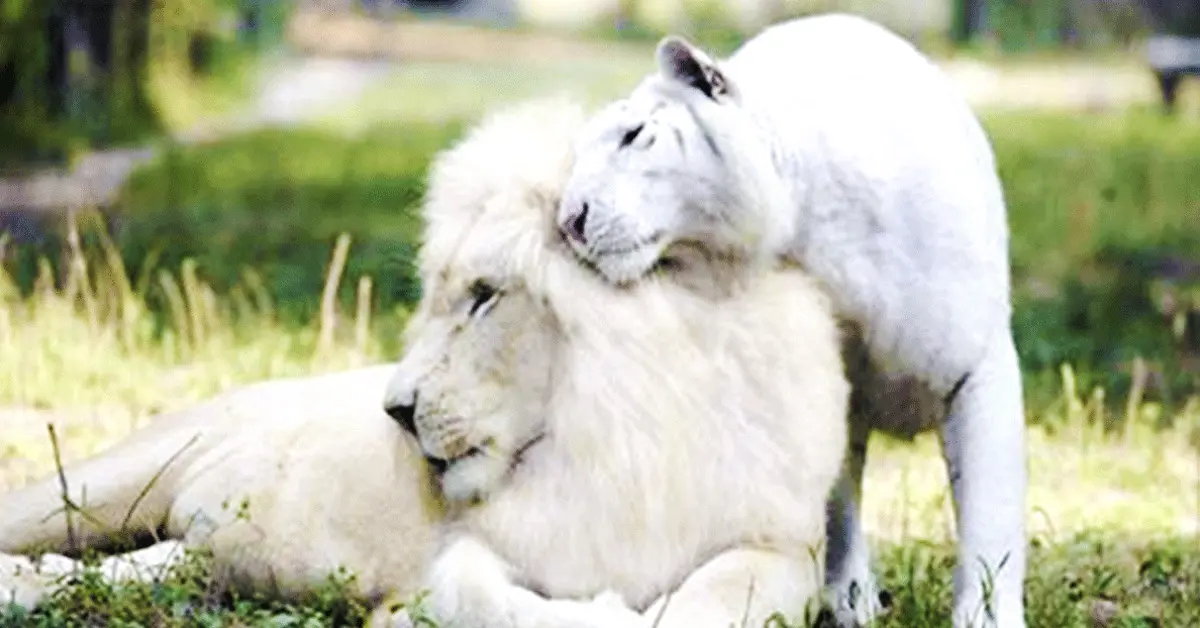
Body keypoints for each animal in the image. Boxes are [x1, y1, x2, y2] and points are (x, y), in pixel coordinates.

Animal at [1, 96, 849, 628]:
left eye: (484, 296)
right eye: (444, 295)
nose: (396, 411)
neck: (622, 436)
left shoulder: (778, 544)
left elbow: (720, 597)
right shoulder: (456, 567)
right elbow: (481, 599)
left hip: (193, 552)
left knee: (130, 568)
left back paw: (33, 589)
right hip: (103, 483)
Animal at [554, 13, 1028, 628]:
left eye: (634, 136)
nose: (569, 220)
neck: (809, 223)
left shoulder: (976, 366)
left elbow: (990, 512)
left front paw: (988, 615)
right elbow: (834, 500)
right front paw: (847, 597)